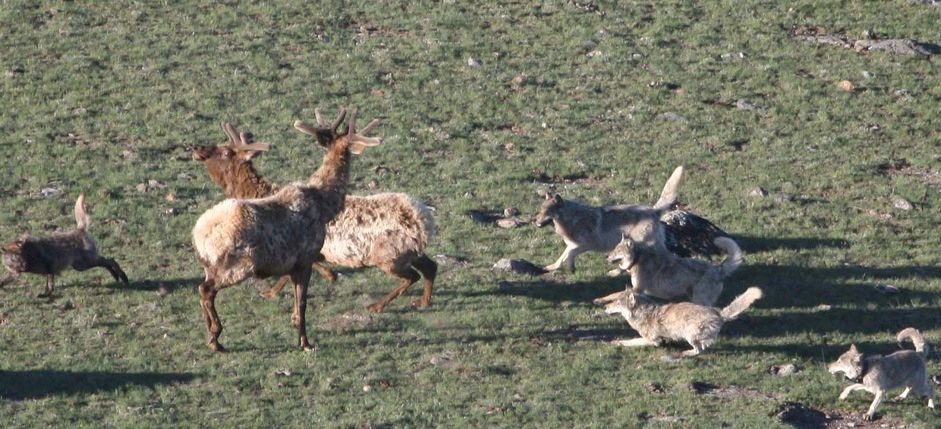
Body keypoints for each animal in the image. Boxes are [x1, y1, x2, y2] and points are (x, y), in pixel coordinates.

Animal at [191, 107, 380, 351]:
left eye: (225, 150)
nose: (196, 148)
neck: (325, 205)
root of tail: (199, 236)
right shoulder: (305, 259)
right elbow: (302, 304)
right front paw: (305, 342)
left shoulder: (293, 265)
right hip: (237, 265)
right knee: (205, 289)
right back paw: (215, 336)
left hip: (211, 266)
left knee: (202, 289)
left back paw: (210, 333)